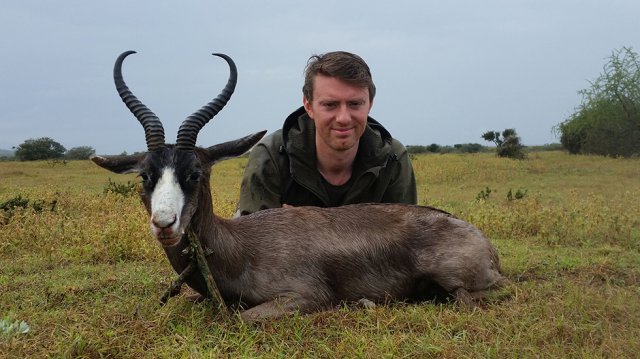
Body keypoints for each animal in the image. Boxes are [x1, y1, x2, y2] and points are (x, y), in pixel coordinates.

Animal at [92, 50, 508, 320]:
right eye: (146, 175)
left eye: (195, 173)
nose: (165, 224)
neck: (241, 248)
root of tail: (482, 241)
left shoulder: (301, 296)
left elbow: (238, 319)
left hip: (458, 282)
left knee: (468, 299)